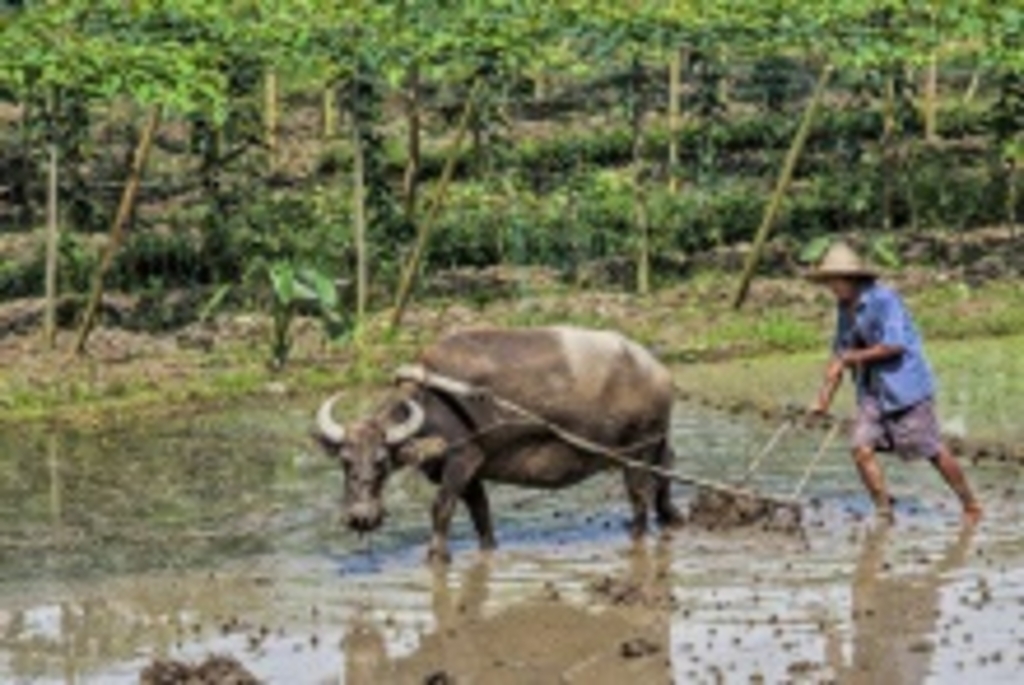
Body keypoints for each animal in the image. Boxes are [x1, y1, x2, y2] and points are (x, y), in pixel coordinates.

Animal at [315, 325, 684, 561]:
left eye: (382, 461)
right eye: (345, 461)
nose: (360, 517)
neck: (433, 398)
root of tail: (659, 372)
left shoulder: (461, 461)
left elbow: (441, 509)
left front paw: (436, 554)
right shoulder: (473, 473)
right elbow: (482, 516)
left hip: (636, 453)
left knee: (640, 499)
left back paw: (636, 534)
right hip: (657, 444)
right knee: (665, 474)